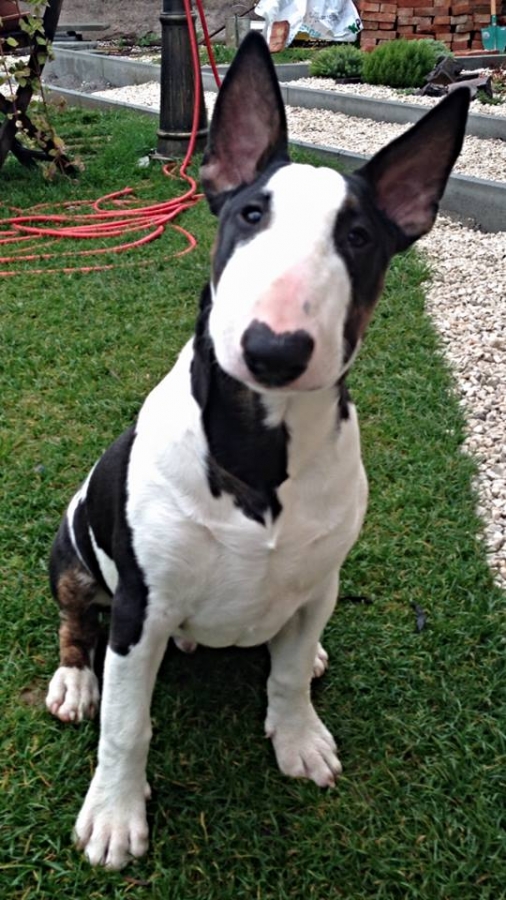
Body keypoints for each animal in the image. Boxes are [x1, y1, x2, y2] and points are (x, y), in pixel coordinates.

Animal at [45, 32, 469, 869]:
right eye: (248, 214)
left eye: (359, 237)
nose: (275, 349)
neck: (261, 442)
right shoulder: (141, 607)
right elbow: (127, 725)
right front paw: (112, 817)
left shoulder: (319, 579)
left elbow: (287, 680)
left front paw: (299, 738)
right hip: (73, 551)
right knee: (77, 622)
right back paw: (75, 682)